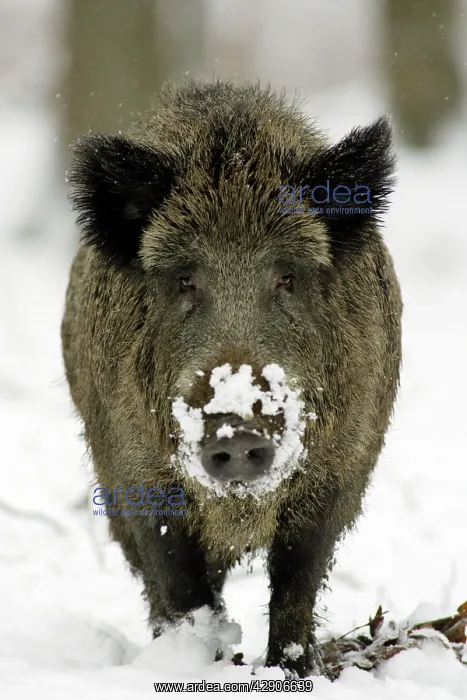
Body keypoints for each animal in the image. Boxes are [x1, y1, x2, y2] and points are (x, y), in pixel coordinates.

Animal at [61, 80, 402, 678]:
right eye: (184, 279)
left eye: (287, 277)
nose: (237, 429)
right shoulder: (137, 474)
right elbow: (179, 583)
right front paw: (200, 666)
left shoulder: (340, 472)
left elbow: (296, 581)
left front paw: (293, 672)